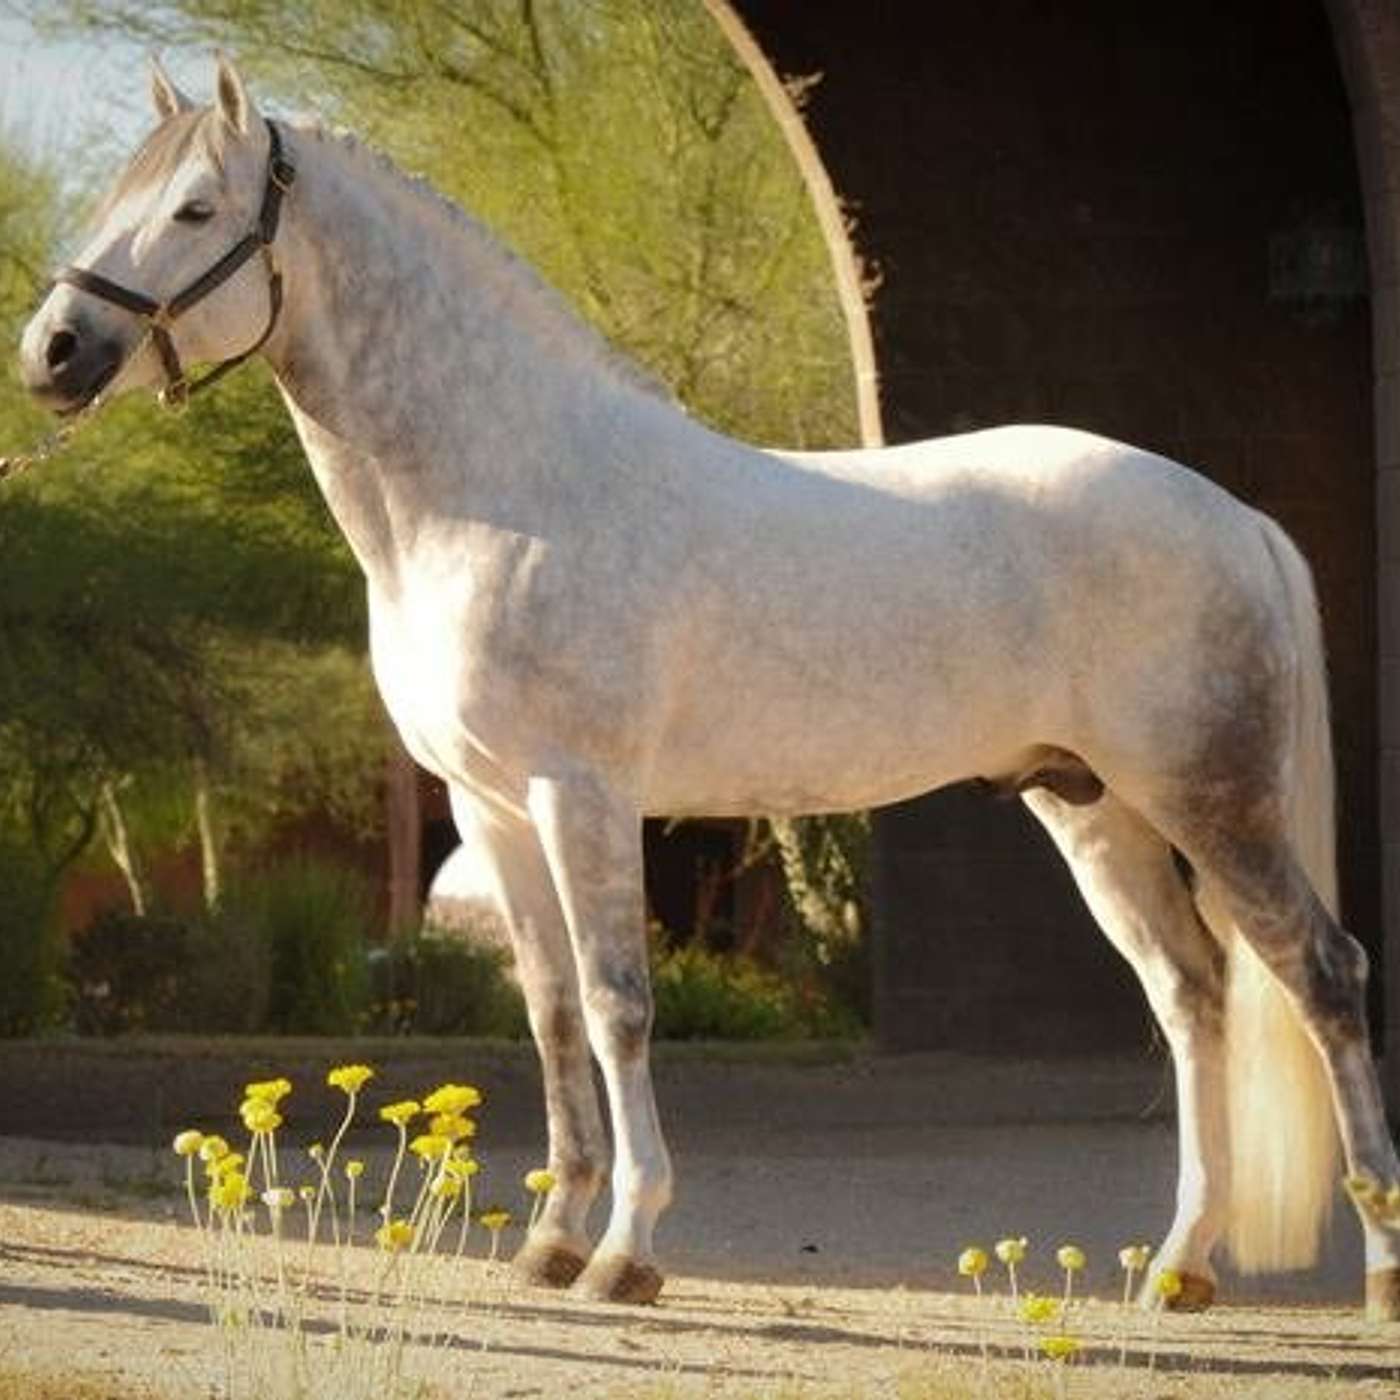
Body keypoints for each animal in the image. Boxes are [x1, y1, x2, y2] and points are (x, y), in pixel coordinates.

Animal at [18, 58, 1400, 1317]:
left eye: (196, 208)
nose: (53, 352)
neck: (508, 482)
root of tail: (1232, 516)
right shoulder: (489, 809)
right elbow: (548, 1011)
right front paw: (550, 1240)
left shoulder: (578, 792)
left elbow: (619, 1006)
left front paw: (626, 1251)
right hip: (1093, 806)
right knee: (1191, 995)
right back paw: (1176, 1266)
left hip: (1212, 802)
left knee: (1322, 975)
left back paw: (1373, 1268)